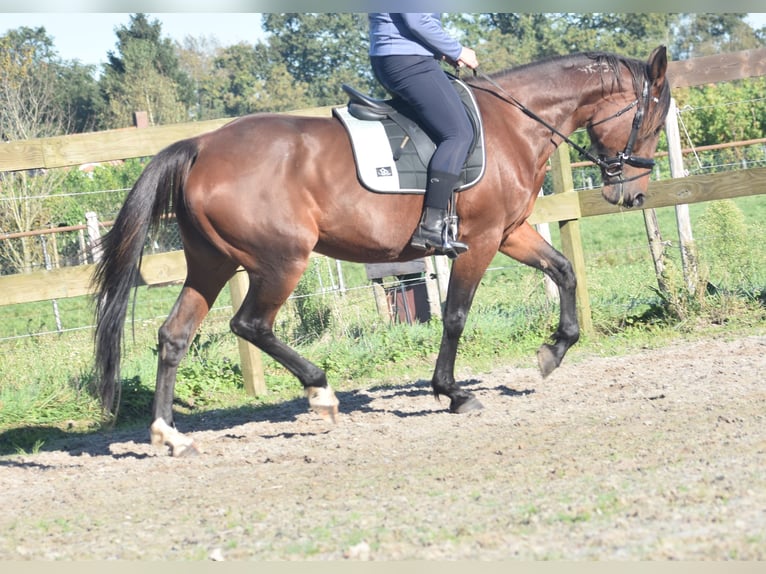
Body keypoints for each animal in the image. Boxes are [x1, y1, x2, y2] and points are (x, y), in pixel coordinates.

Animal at [91, 46, 672, 460]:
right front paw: (452, 392)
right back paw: (321, 393)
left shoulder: (510, 232)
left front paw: (555, 350)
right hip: (281, 261)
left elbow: (565, 270)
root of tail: (200, 146)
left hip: (211, 264)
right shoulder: (482, 239)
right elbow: (456, 315)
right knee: (251, 325)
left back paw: (170, 435)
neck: (515, 124)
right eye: (651, 120)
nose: (632, 196)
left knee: (175, 335)